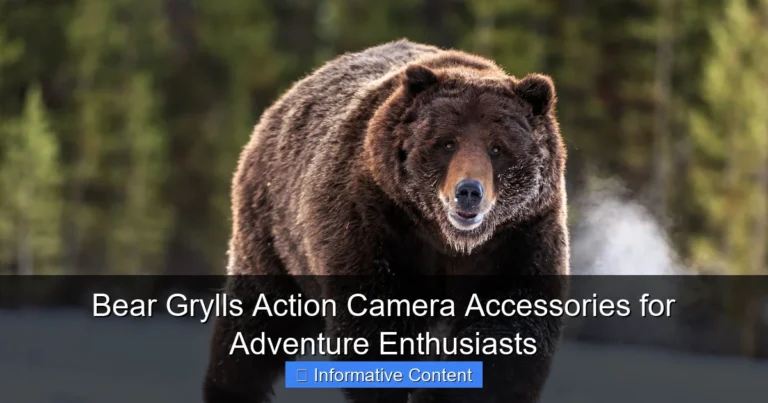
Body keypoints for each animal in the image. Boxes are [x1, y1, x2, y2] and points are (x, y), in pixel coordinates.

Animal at [203, 39, 569, 403]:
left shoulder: (519, 237)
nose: (468, 191)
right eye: (447, 143)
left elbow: (508, 335)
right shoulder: (375, 221)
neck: (450, 241)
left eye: (497, 147)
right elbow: (375, 327)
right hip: (273, 233)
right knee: (255, 324)